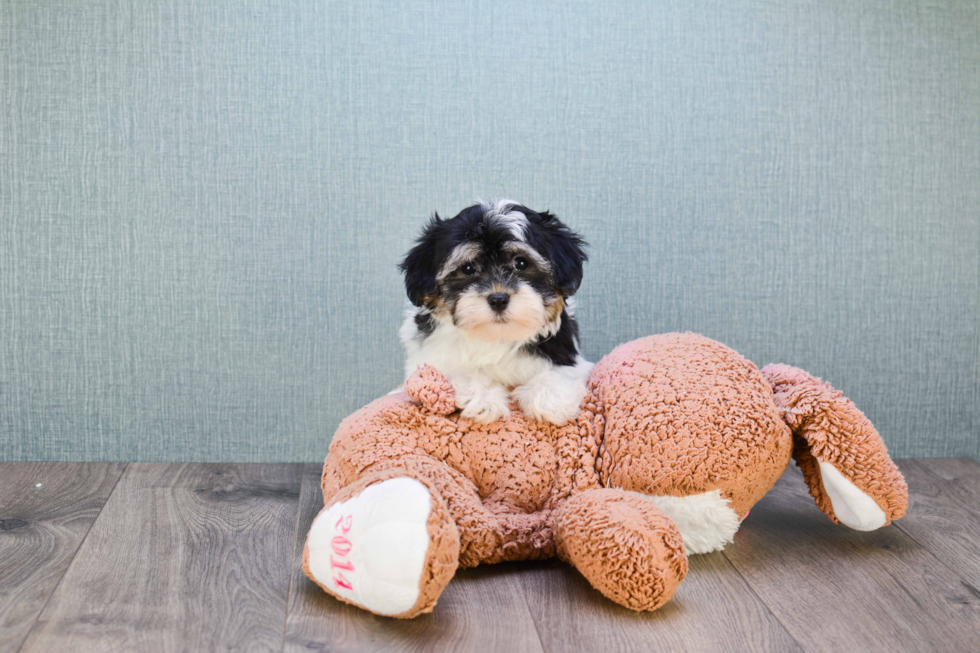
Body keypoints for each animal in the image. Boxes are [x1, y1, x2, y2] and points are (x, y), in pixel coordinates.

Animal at [396, 199, 592, 422]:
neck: (497, 336)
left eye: (521, 263)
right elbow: (458, 372)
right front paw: (484, 401)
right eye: (468, 268)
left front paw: (550, 401)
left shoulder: (566, 354)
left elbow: (561, 372)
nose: (498, 299)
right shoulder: (428, 360)